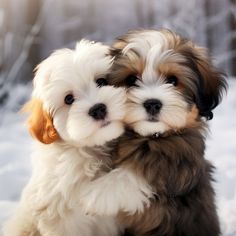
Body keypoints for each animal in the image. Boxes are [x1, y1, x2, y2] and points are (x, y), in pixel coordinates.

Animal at [80, 30, 227, 236]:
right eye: (131, 80)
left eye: (173, 80)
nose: (152, 104)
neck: (150, 136)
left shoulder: (181, 157)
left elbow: (146, 166)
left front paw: (96, 194)